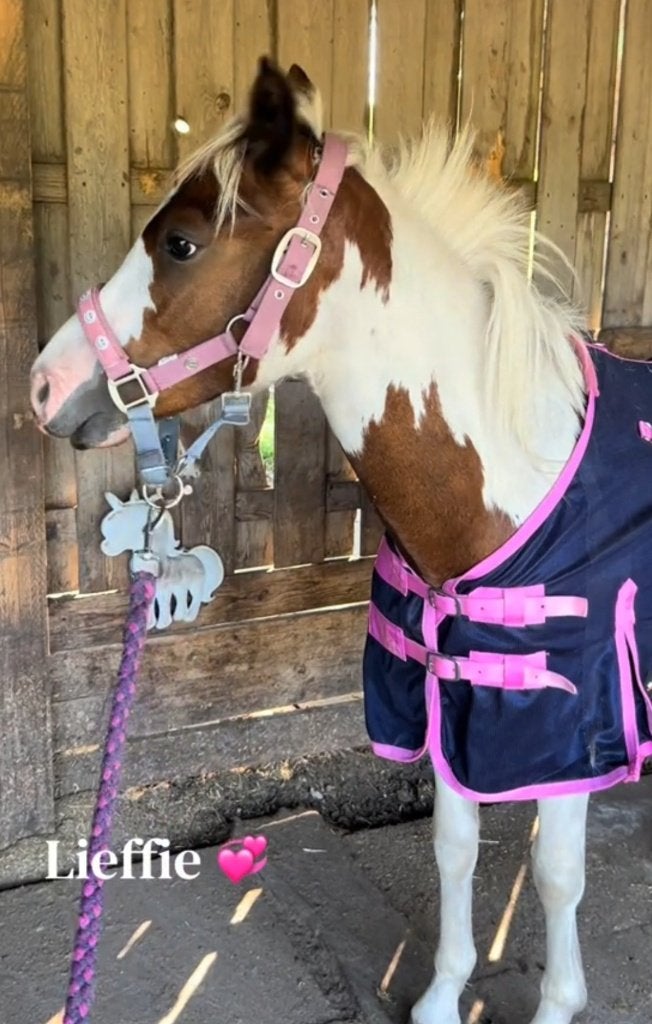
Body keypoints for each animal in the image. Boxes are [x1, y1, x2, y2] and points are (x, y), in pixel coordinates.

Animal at [30, 58, 652, 1024]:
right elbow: (455, 849)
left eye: (180, 244)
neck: (511, 471)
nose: (41, 386)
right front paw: (441, 996)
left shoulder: (568, 721)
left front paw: (557, 1004)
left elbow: (553, 872)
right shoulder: (443, 695)